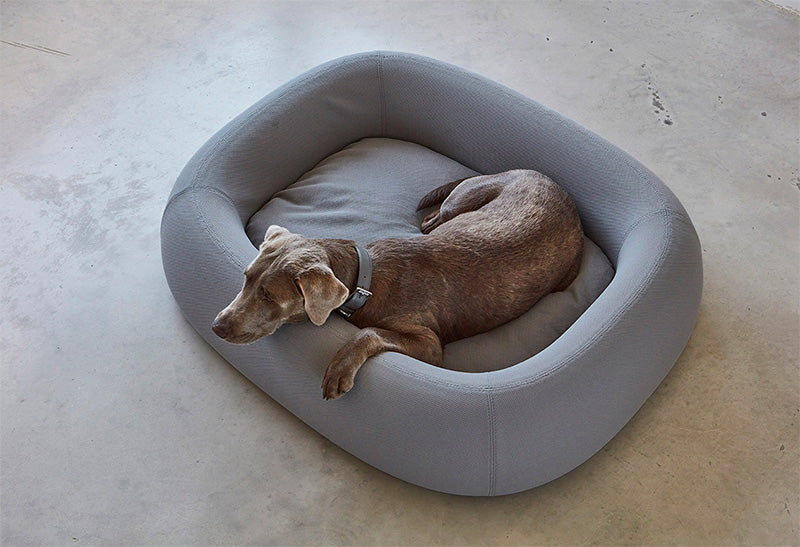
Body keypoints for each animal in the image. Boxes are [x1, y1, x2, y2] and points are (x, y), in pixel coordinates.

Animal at [214, 169, 580, 400]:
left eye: (269, 296)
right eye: (246, 278)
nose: (217, 326)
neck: (364, 279)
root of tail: (539, 174)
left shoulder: (430, 344)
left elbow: (369, 332)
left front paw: (339, 370)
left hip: (462, 203)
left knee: (436, 217)